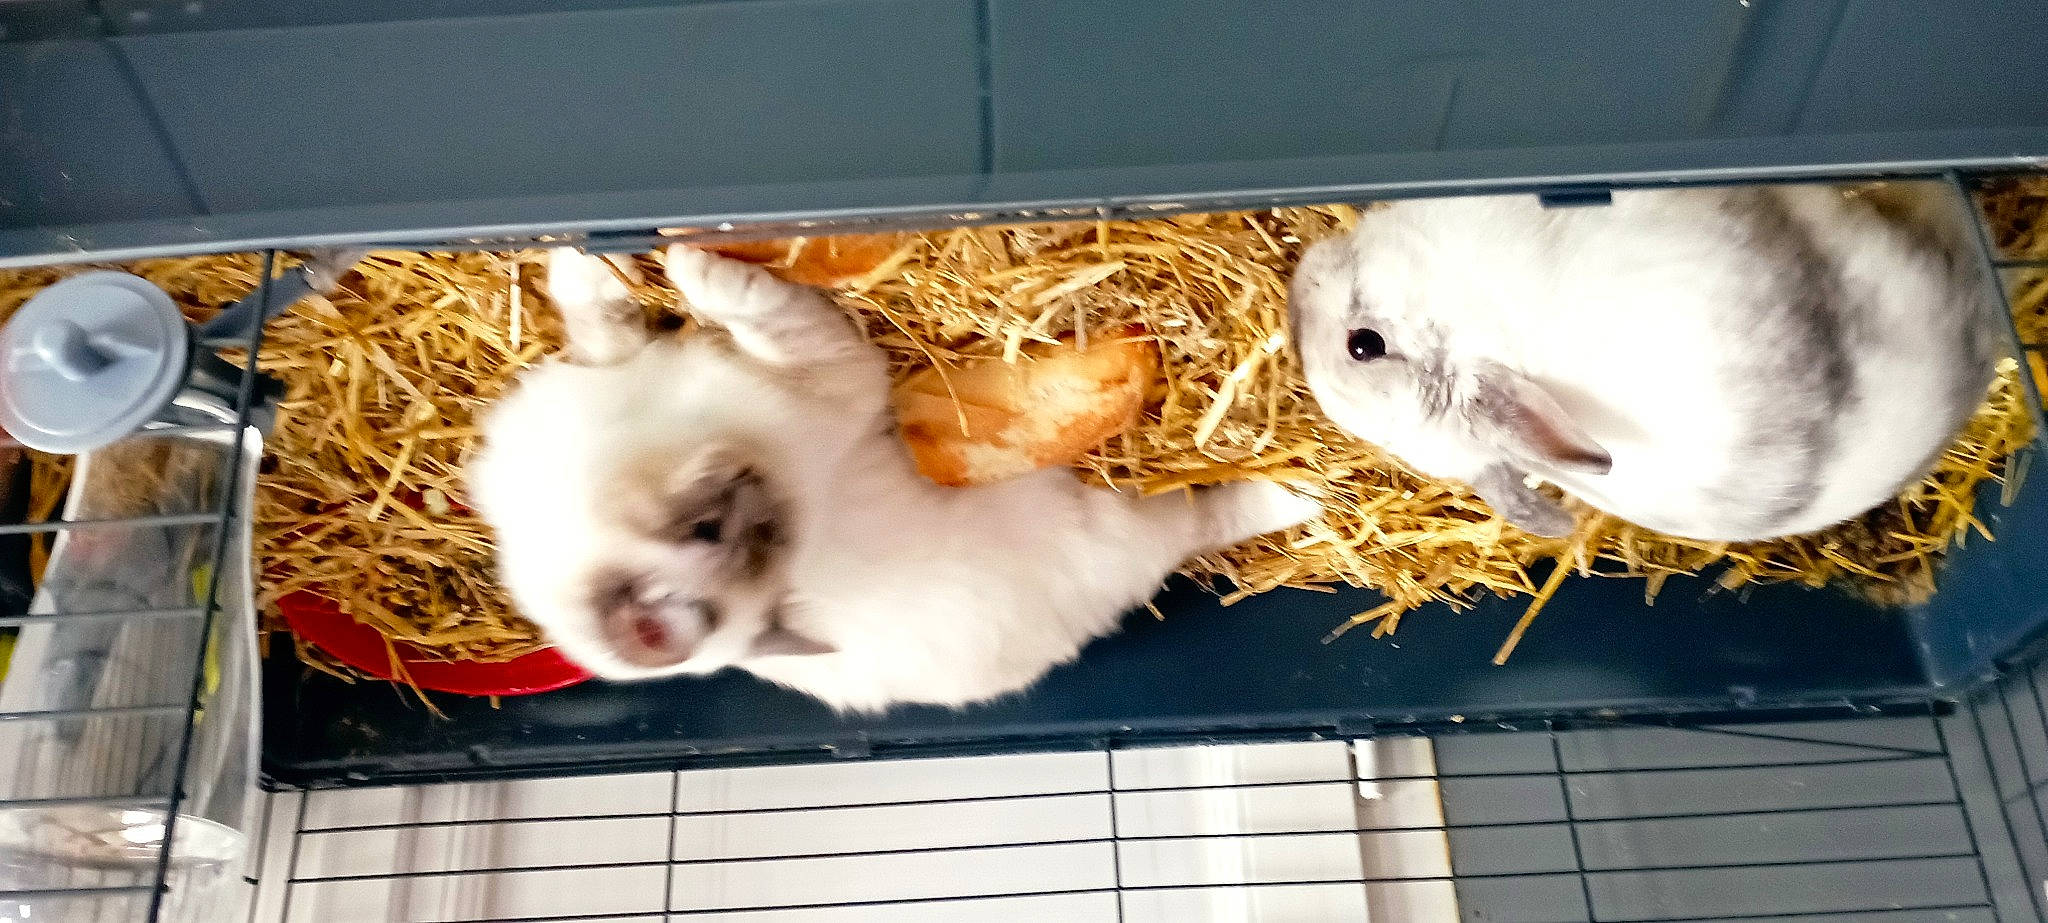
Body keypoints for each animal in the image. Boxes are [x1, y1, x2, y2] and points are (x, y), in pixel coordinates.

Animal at [465, 245, 1319, 712]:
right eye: (714, 530)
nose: (755, 488)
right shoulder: (829, 374)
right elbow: (732, 306)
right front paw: (680, 266)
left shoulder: (638, 367)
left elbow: (609, 319)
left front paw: (616, 264)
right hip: (1115, 520)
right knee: (1201, 519)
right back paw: (1296, 495)